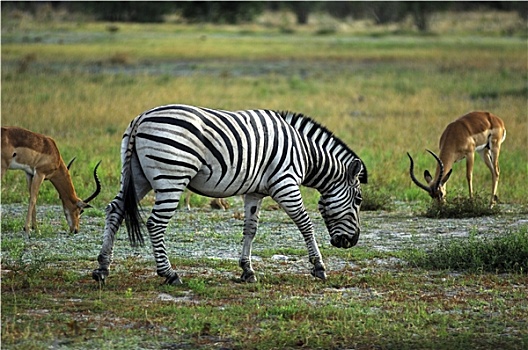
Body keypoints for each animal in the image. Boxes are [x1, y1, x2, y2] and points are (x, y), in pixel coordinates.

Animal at [93, 103, 368, 284]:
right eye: (358, 200)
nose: (352, 241)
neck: (305, 153)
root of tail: (141, 117)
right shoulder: (285, 183)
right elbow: (306, 224)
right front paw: (319, 267)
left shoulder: (255, 192)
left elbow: (250, 229)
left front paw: (247, 271)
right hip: (172, 176)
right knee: (155, 223)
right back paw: (169, 274)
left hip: (136, 176)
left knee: (114, 210)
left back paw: (103, 267)